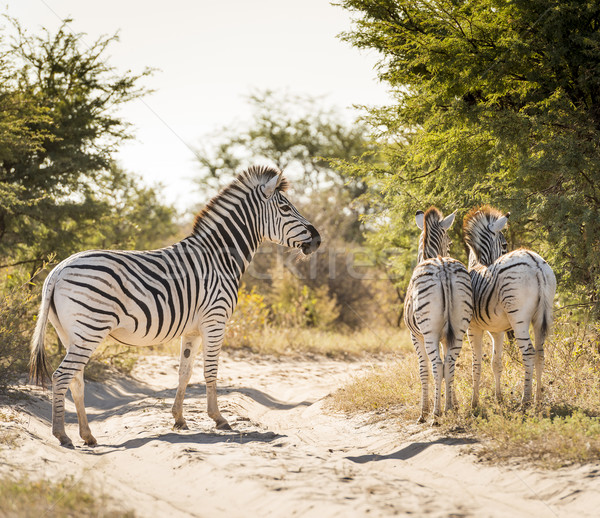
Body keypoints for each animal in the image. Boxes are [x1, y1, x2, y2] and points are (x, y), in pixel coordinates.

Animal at [30, 166, 322, 446]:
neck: (219, 258)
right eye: (286, 208)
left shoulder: (192, 329)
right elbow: (210, 370)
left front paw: (179, 419)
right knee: (61, 376)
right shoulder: (215, 321)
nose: (318, 240)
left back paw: (87, 435)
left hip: (70, 333)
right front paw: (218, 419)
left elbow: (185, 372)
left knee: (76, 380)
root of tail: (57, 270)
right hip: (90, 328)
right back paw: (62, 435)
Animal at [404, 209, 474, 424]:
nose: (449, 250)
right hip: (459, 328)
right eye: (450, 244)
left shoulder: (415, 336)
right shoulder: (446, 337)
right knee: (450, 363)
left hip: (429, 332)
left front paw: (423, 412)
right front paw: (455, 405)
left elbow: (424, 370)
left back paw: (435, 414)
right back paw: (449, 409)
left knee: (436, 365)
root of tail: (442, 265)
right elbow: (448, 370)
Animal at [464, 207, 556, 410]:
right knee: (540, 353)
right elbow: (496, 363)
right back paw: (538, 399)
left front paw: (474, 403)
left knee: (528, 352)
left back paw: (525, 401)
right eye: (505, 244)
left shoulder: (473, 328)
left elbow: (476, 364)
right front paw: (498, 398)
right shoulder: (497, 331)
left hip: (518, 317)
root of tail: (535, 263)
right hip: (541, 316)